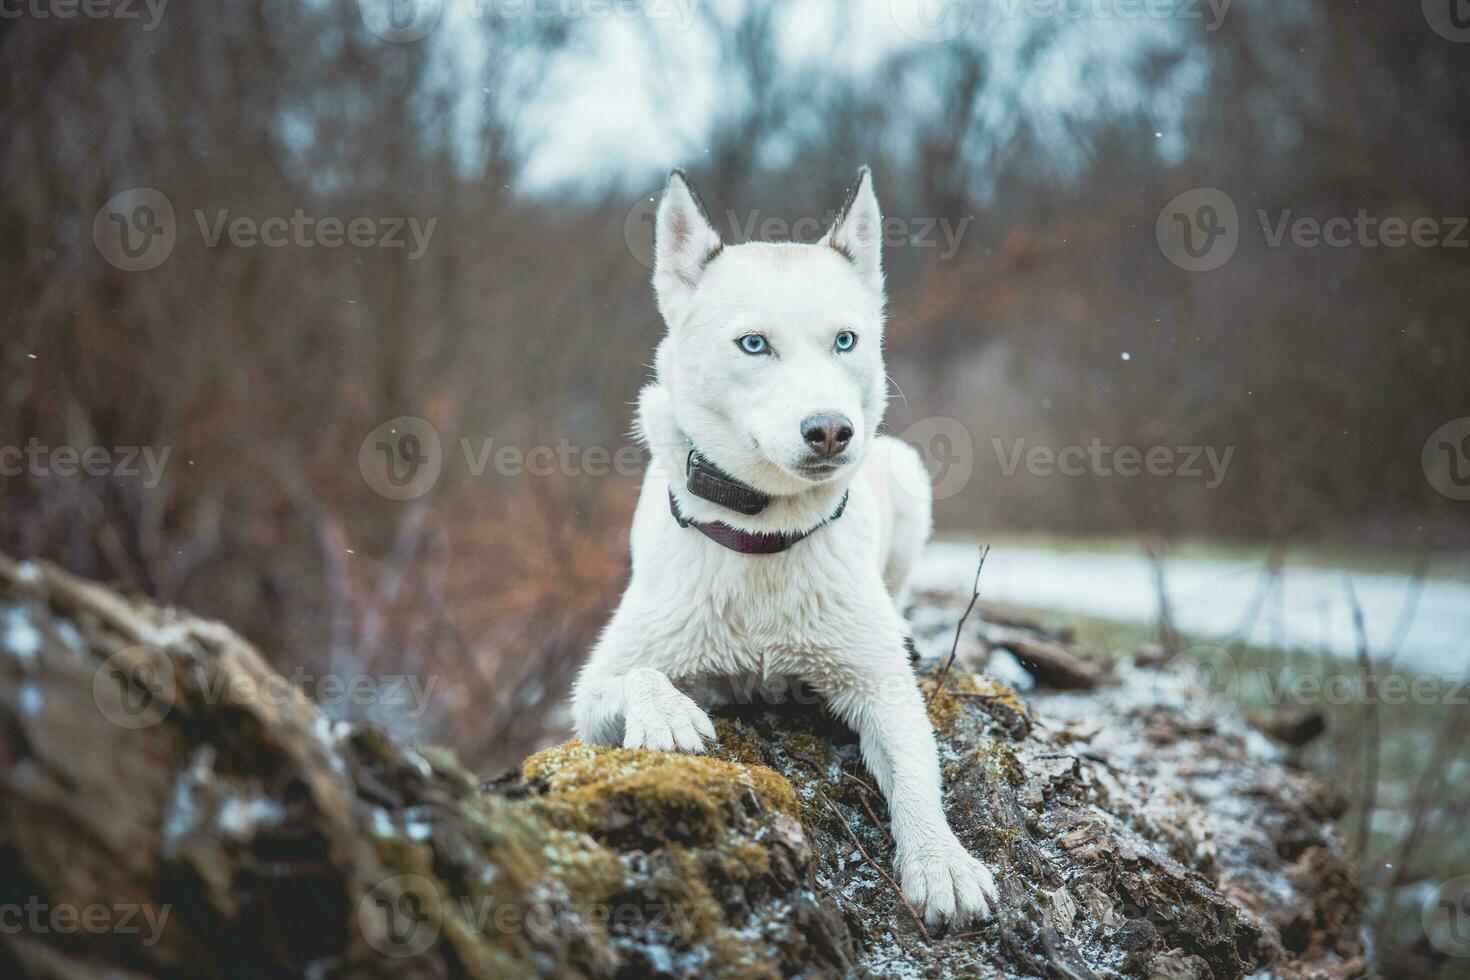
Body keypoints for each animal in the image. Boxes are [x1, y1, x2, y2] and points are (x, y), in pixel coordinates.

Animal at [567, 168, 993, 928]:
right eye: (753, 344)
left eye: (846, 340)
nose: (831, 430)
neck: (764, 536)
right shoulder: (591, 693)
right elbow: (635, 676)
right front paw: (668, 710)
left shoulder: (882, 686)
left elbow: (918, 773)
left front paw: (940, 858)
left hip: (908, 472)